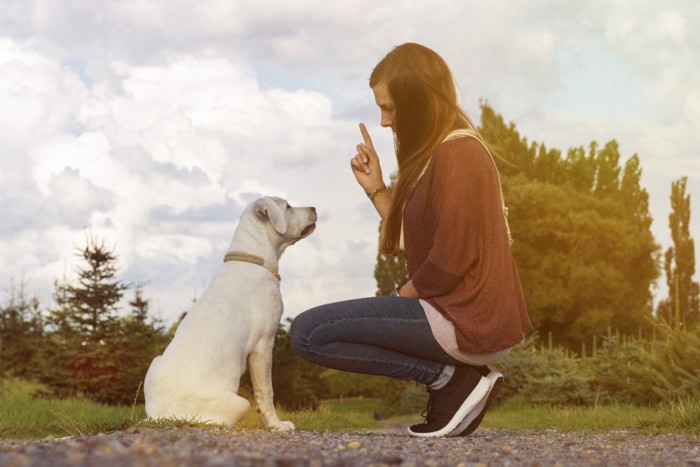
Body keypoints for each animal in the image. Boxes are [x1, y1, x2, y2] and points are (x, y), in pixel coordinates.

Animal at [146, 196, 318, 430]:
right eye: (288, 207)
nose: (314, 208)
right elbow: (266, 392)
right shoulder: (263, 345)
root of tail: (158, 416)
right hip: (240, 402)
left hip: (154, 362)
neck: (252, 258)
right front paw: (277, 425)